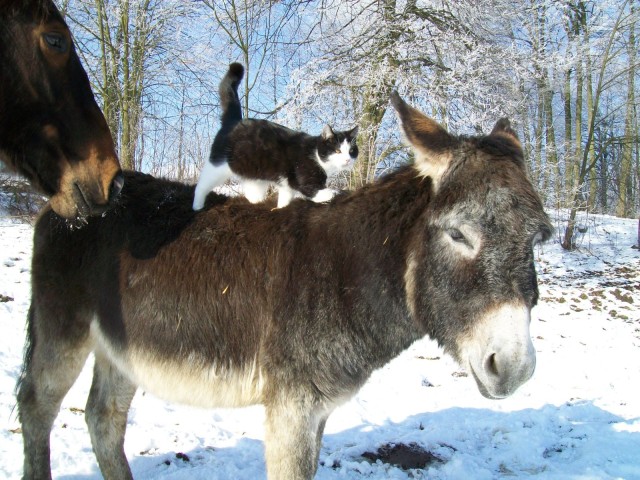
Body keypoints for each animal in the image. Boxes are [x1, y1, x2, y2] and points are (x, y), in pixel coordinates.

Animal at [17, 92, 552, 478]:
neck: (346, 272)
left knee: (102, 418)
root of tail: (64, 203)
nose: (516, 369)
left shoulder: (315, 413)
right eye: (458, 234)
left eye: (536, 239)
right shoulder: (290, 409)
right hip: (63, 331)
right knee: (37, 407)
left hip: (121, 347)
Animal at [192, 62, 358, 210]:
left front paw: (279, 209)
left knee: (252, 195)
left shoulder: (286, 187)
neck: (316, 156)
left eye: (351, 151)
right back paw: (197, 206)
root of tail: (234, 120)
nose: (347, 159)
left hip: (254, 177)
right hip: (218, 165)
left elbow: (284, 201)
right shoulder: (304, 181)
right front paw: (337, 193)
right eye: (337, 150)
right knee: (201, 186)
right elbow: (320, 192)